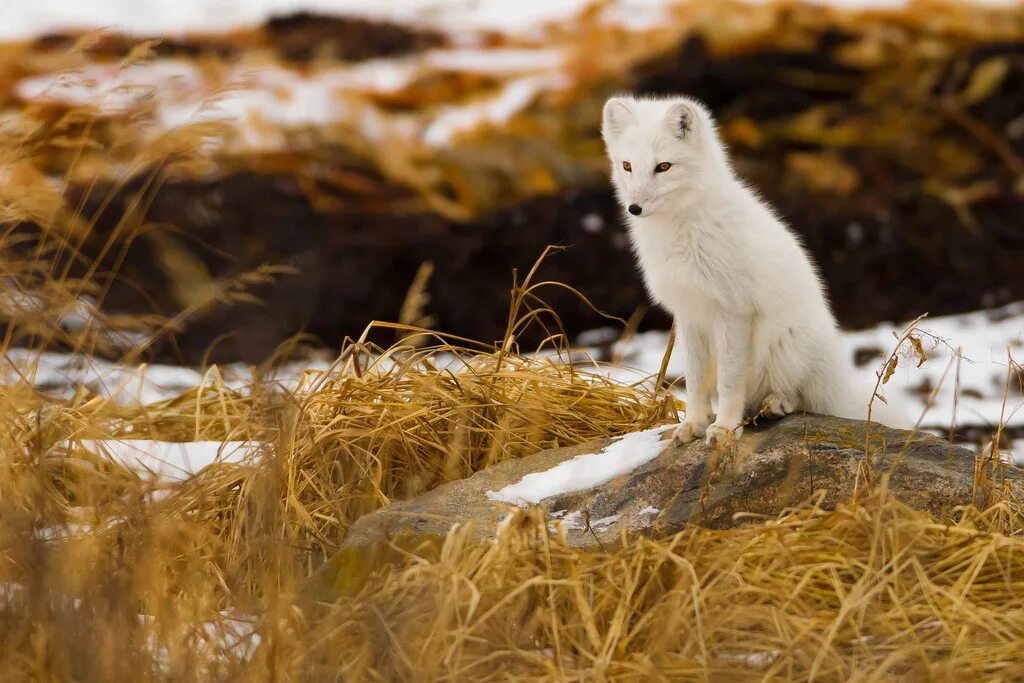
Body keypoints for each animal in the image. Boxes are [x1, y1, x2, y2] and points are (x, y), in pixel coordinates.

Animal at [598, 96, 905, 448]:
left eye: (663, 167)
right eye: (627, 166)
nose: (634, 208)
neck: (682, 231)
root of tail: (840, 385)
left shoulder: (734, 310)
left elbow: (729, 382)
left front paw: (724, 428)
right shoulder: (689, 315)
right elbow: (696, 381)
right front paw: (694, 424)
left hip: (787, 344)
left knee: (804, 401)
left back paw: (777, 404)